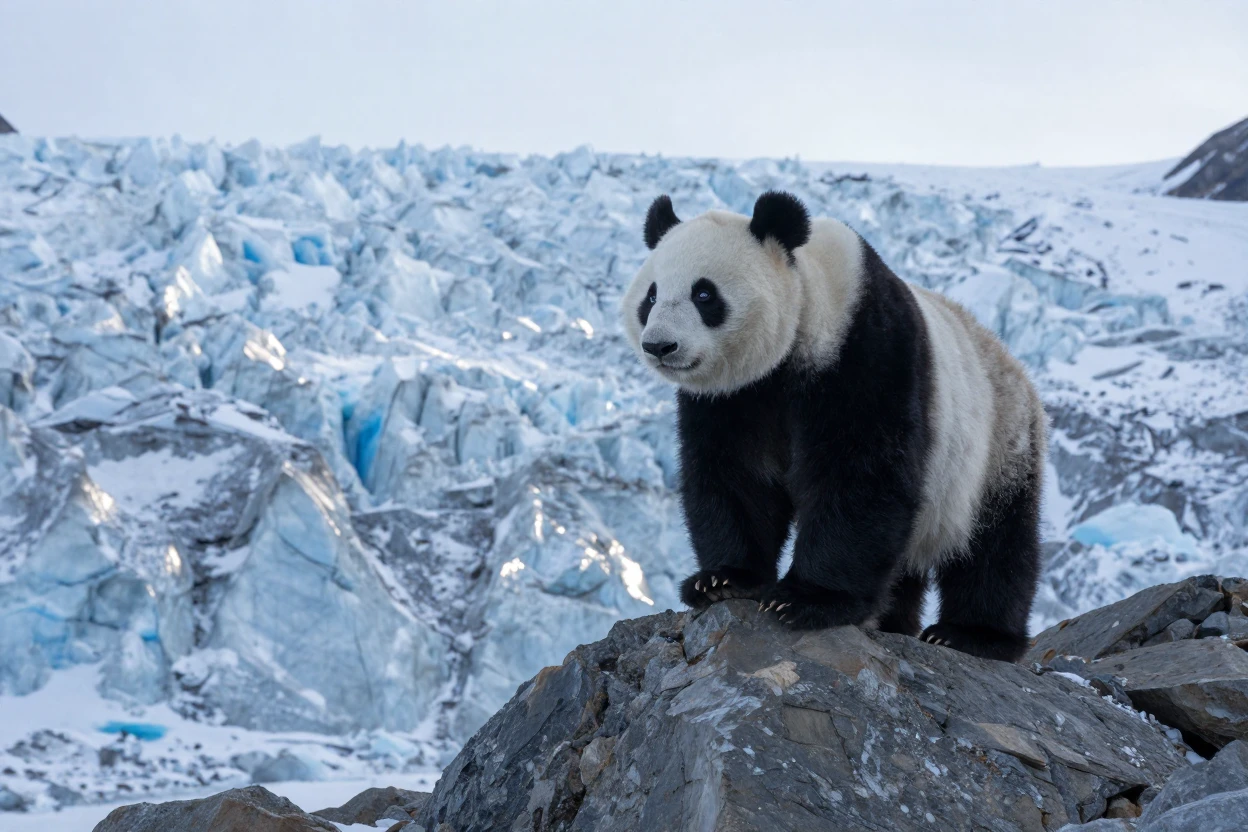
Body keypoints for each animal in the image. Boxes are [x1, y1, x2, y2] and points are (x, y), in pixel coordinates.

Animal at [621, 191, 1047, 662]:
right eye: (651, 296)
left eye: (704, 293)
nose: (660, 346)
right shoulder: (729, 398)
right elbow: (733, 476)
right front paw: (722, 580)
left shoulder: (867, 352)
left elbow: (859, 477)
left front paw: (807, 599)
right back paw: (894, 622)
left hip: (997, 442)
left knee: (995, 544)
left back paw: (969, 635)